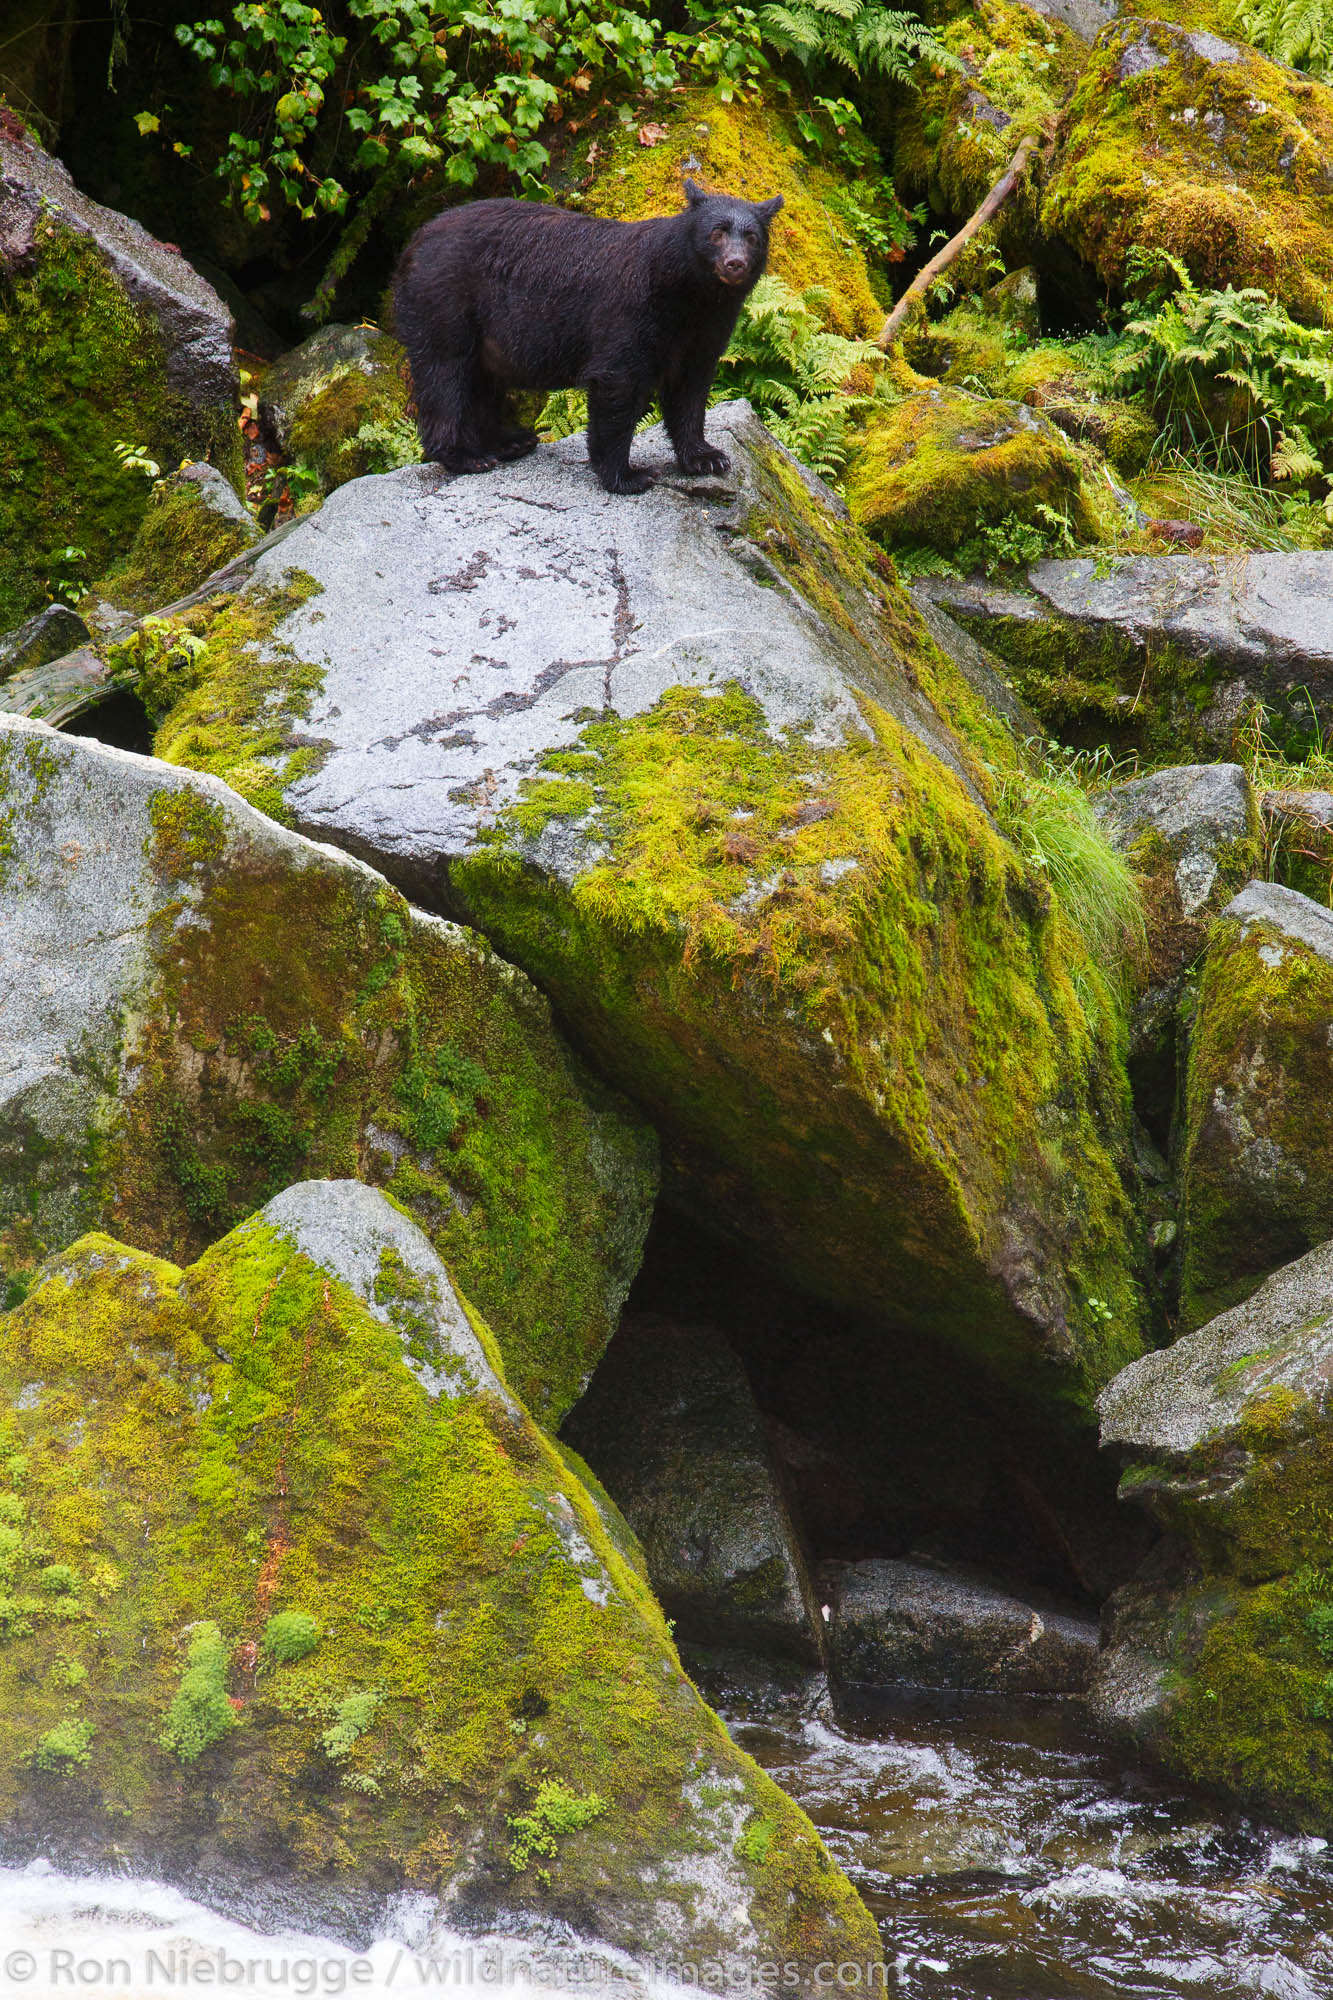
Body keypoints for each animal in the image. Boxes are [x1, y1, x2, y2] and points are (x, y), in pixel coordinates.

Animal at [390, 183, 780, 496]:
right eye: (717, 232)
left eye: (752, 237)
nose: (734, 264)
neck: (689, 294)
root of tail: (414, 242)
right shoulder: (632, 310)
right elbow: (617, 383)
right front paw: (627, 476)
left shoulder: (706, 329)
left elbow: (690, 389)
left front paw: (706, 457)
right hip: (444, 300)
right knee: (445, 372)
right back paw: (467, 456)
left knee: (482, 383)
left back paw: (511, 440)